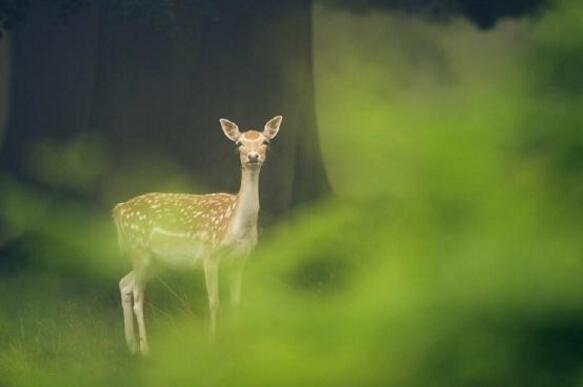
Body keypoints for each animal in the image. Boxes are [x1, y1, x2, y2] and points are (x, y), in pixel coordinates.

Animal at [112, 114, 282, 354]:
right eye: (239, 143)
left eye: (265, 141)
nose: (252, 156)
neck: (236, 226)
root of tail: (118, 209)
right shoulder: (210, 253)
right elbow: (214, 301)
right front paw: (212, 343)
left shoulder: (240, 260)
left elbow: (236, 301)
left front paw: (237, 344)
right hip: (140, 251)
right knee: (137, 296)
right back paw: (145, 349)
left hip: (155, 261)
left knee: (124, 284)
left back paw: (131, 345)